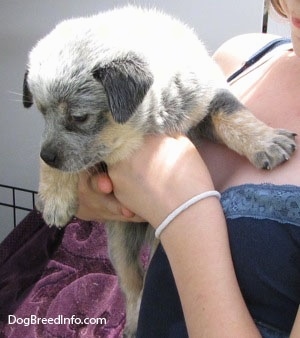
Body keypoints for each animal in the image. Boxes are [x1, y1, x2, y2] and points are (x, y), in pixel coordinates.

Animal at [22, 5, 296, 338]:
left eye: (79, 117)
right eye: (40, 112)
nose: (47, 156)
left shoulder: (208, 98)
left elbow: (233, 115)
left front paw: (266, 141)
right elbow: (67, 158)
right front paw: (54, 196)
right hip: (119, 244)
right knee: (132, 284)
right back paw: (133, 322)